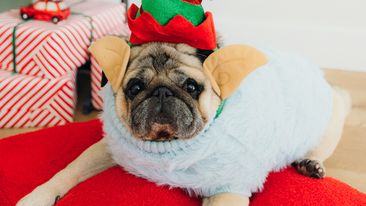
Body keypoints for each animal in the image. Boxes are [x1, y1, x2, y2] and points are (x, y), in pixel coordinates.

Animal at [17, 36, 352, 205]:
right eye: (135, 88)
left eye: (191, 87)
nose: (162, 92)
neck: (167, 146)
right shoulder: (110, 149)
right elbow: (67, 171)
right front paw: (39, 197)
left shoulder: (228, 187)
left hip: (326, 121)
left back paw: (310, 164)